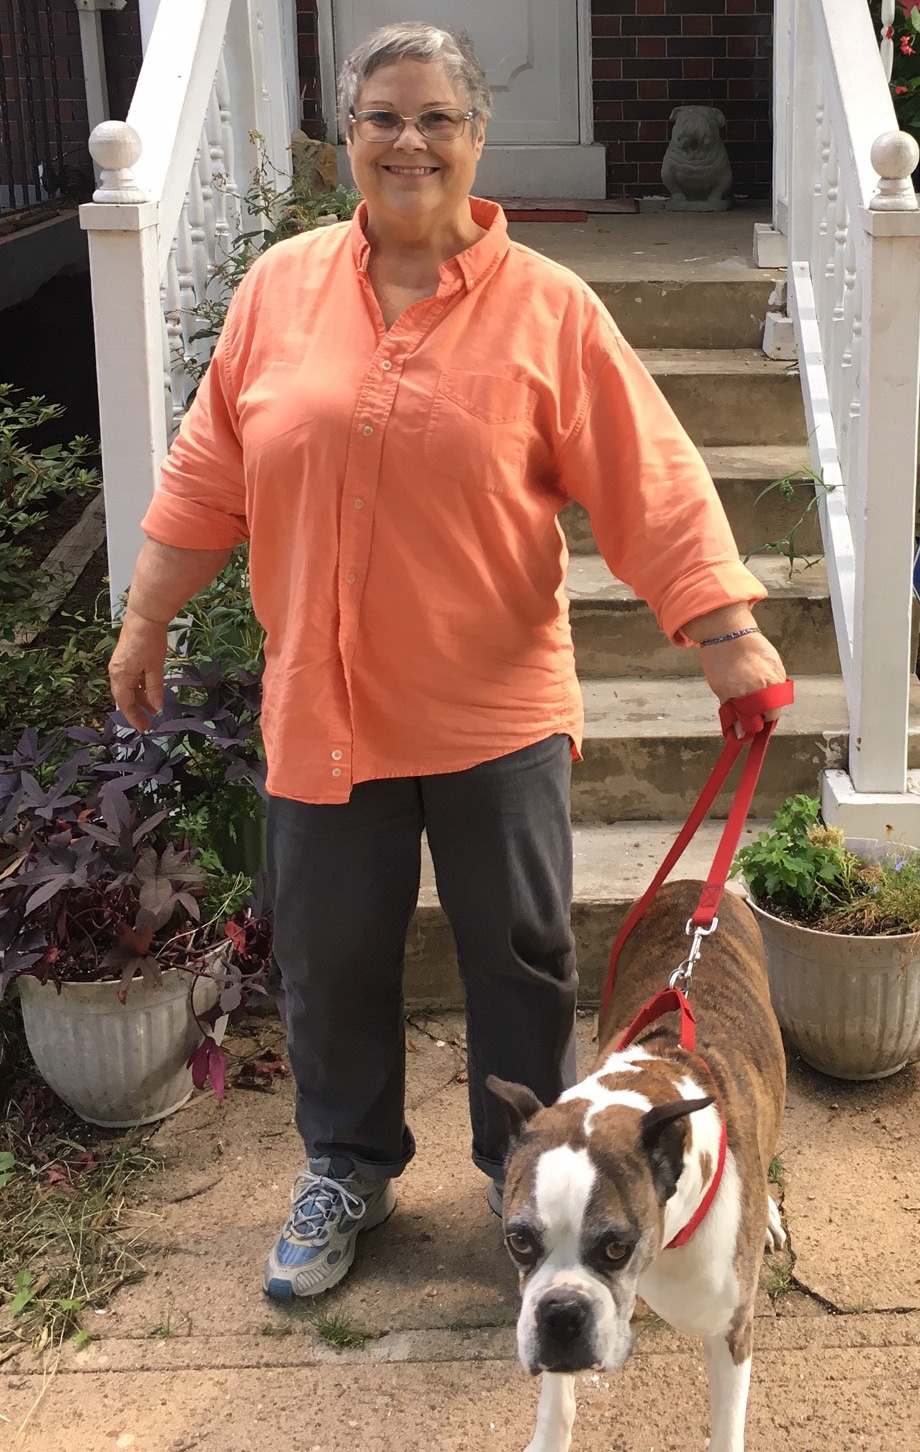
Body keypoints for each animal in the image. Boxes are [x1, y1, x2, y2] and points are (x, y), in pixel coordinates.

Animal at [487, 877, 783, 1446]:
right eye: (519, 1241)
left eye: (615, 1248)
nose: (561, 1312)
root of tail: (699, 883)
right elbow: (555, 1402)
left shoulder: (732, 1331)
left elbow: (727, 1428)